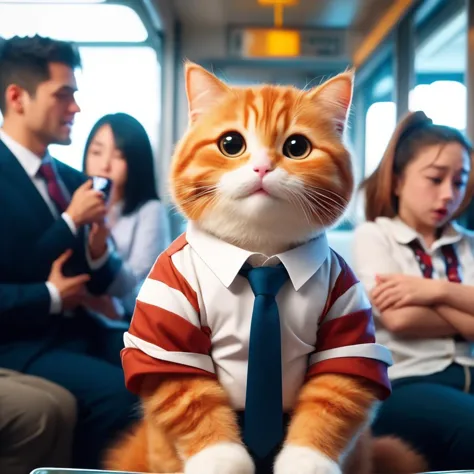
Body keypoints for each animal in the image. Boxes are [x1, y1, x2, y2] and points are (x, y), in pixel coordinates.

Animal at [103, 64, 426, 474]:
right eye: (230, 143)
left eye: (297, 147)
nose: (262, 167)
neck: (261, 259)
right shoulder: (166, 317)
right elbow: (191, 400)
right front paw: (220, 459)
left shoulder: (347, 314)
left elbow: (332, 399)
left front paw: (307, 461)